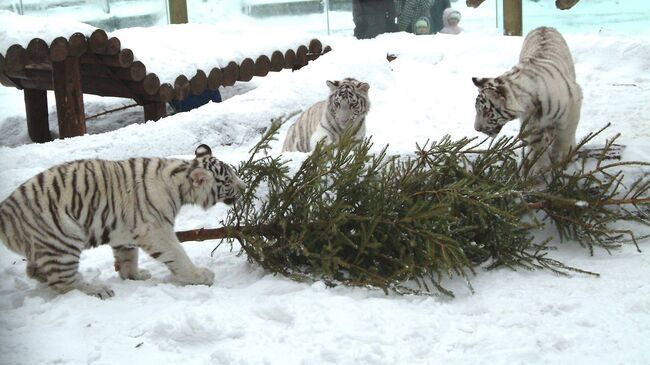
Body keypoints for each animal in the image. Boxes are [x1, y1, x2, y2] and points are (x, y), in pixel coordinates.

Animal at [0, 144, 246, 298]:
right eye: (227, 181)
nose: (244, 187)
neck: (179, 181)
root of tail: (5, 211)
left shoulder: (125, 231)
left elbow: (128, 257)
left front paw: (134, 276)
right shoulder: (155, 229)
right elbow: (177, 253)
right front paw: (199, 276)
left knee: (35, 270)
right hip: (64, 238)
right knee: (62, 282)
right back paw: (97, 290)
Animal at [468, 26, 580, 174]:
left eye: (486, 112)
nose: (477, 129)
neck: (531, 105)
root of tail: (543, 26)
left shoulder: (573, 105)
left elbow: (564, 136)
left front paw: (561, 157)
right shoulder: (530, 124)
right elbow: (537, 144)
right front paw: (538, 167)